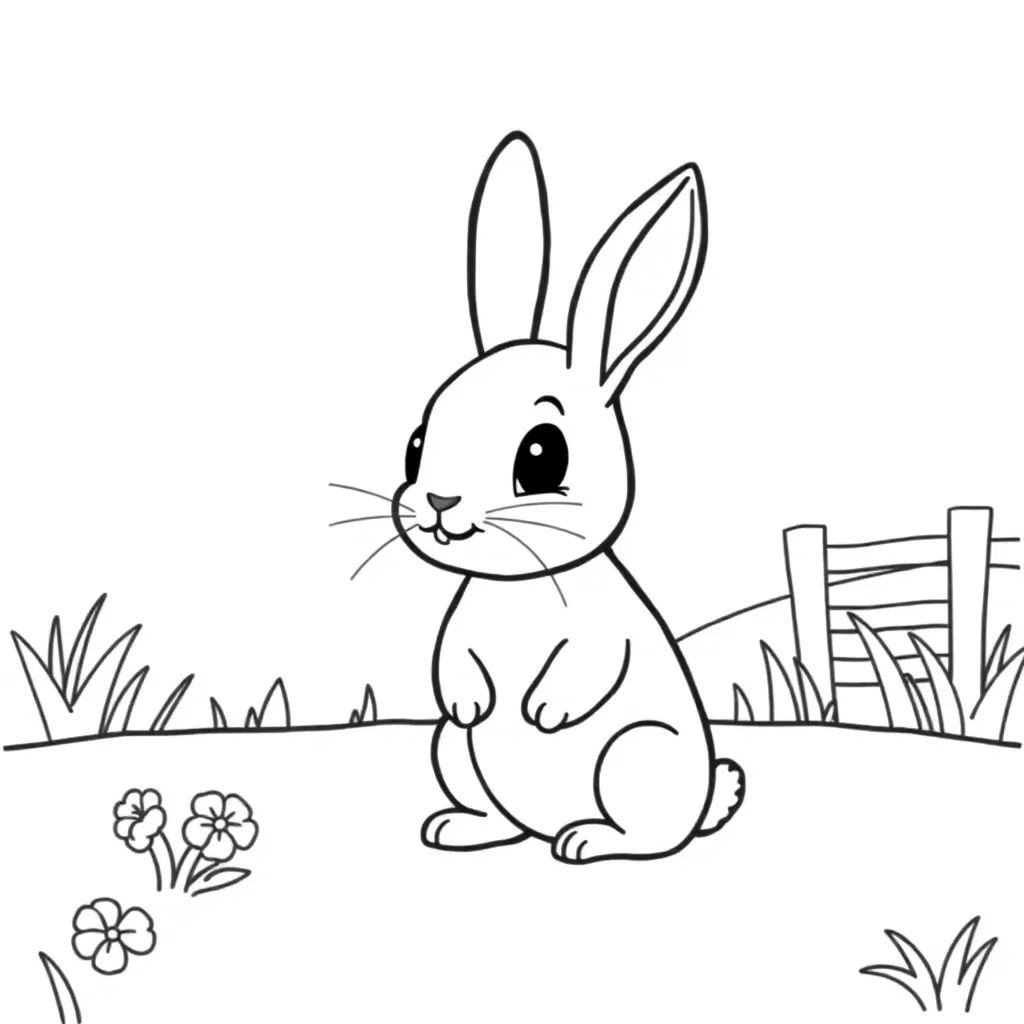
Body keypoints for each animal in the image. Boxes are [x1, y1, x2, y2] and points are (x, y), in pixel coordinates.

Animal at [391, 131, 744, 863]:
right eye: (416, 443)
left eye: (542, 455)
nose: (438, 501)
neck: (520, 588)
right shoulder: (461, 630)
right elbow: (453, 665)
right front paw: (474, 703)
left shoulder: (604, 634)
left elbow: (589, 664)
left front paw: (545, 712)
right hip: (453, 752)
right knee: (495, 811)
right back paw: (459, 828)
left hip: (637, 756)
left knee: (650, 836)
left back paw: (584, 840)